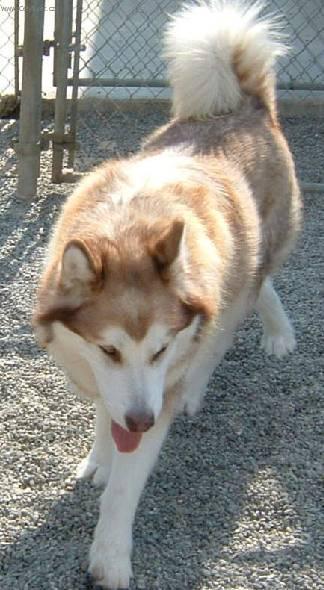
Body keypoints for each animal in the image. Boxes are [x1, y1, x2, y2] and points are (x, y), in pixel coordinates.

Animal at [33, 2, 302, 588]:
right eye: (109, 350)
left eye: (160, 349)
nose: (143, 421)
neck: (128, 226)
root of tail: (247, 104)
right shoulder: (105, 376)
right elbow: (106, 414)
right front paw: (100, 455)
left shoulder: (161, 379)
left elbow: (123, 492)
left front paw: (110, 559)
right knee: (258, 282)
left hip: (238, 278)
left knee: (230, 319)